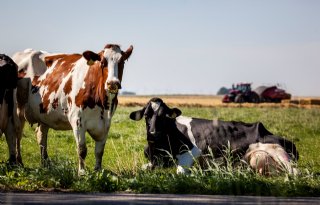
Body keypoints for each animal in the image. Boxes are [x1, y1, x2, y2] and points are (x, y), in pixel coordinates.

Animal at [12, 44, 132, 173]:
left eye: (122, 61)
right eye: (102, 62)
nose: (112, 83)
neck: (103, 104)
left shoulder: (105, 123)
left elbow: (99, 152)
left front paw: (98, 171)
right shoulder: (77, 120)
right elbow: (82, 150)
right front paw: (82, 172)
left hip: (43, 114)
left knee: (41, 135)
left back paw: (45, 164)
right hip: (16, 110)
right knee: (17, 135)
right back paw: (19, 162)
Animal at [129, 97, 298, 175]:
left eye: (164, 116)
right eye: (146, 115)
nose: (153, 133)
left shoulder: (192, 153)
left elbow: (179, 171)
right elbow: (143, 168)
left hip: (280, 155)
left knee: (296, 172)